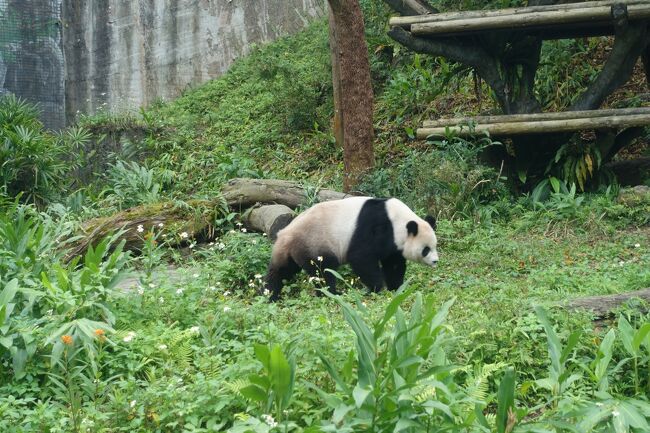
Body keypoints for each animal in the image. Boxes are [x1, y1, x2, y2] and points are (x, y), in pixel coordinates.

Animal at [262, 197, 436, 300]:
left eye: (435, 246)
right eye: (426, 249)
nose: (435, 261)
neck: (397, 220)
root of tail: (284, 234)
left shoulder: (393, 243)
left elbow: (393, 264)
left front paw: (396, 288)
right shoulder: (376, 227)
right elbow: (361, 257)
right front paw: (377, 288)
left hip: (291, 250)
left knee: (281, 271)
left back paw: (270, 294)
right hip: (314, 243)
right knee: (323, 270)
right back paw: (332, 294)